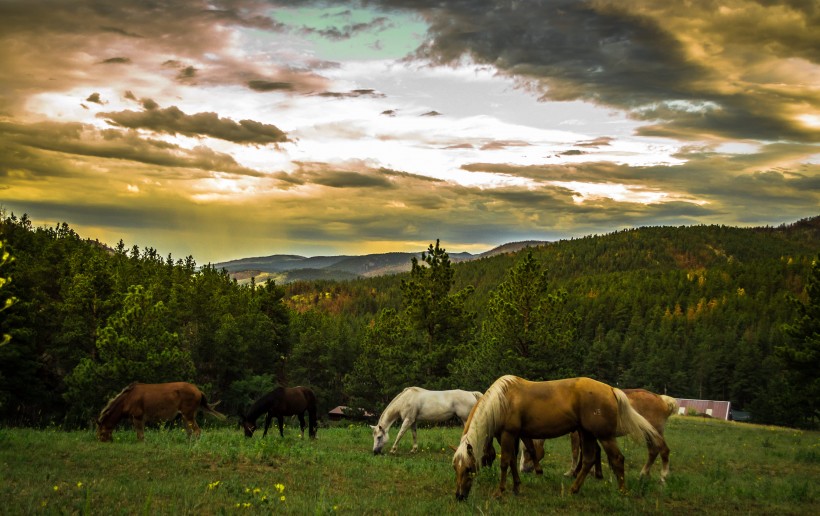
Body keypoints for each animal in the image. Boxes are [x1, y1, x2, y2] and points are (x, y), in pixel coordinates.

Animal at [97, 380, 227, 442]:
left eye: (101, 432)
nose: (103, 441)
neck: (127, 399)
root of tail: (198, 391)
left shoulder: (138, 417)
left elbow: (140, 436)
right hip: (184, 417)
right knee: (190, 432)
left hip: (188, 415)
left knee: (197, 431)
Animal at [452, 374, 664, 500]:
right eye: (455, 468)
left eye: (469, 468)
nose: (459, 496)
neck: (502, 400)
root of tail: (611, 389)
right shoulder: (514, 436)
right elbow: (512, 461)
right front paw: (517, 488)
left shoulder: (508, 434)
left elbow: (504, 463)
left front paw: (500, 492)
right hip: (586, 433)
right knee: (588, 459)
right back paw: (573, 489)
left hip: (603, 435)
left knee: (617, 459)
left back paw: (622, 492)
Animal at [520, 390, 680, 482]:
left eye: (527, 451)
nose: (523, 470)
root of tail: (663, 399)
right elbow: (594, 451)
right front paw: (595, 473)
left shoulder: (576, 434)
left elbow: (577, 453)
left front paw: (572, 472)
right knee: (653, 451)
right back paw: (643, 474)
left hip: (654, 432)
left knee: (663, 450)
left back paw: (663, 476)